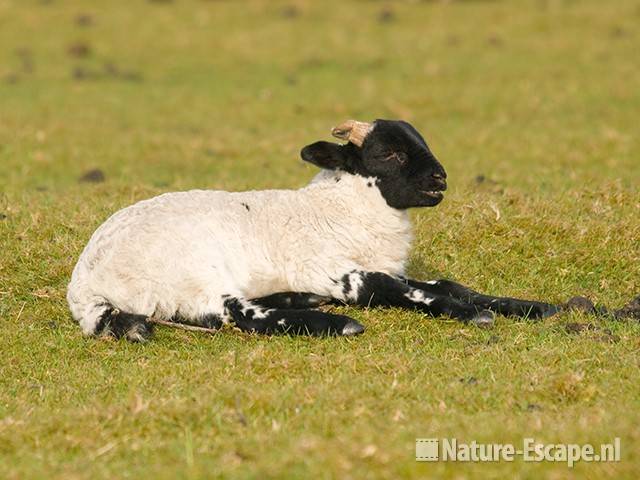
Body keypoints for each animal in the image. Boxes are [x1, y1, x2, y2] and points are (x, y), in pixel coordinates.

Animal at [66, 118, 560, 342]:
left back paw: (299, 300)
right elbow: (393, 289)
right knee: (234, 313)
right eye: (388, 153)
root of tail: (85, 288)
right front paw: (469, 315)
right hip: (191, 274)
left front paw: (538, 307)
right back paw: (336, 322)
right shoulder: (334, 268)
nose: (440, 180)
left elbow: (447, 283)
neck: (337, 208)